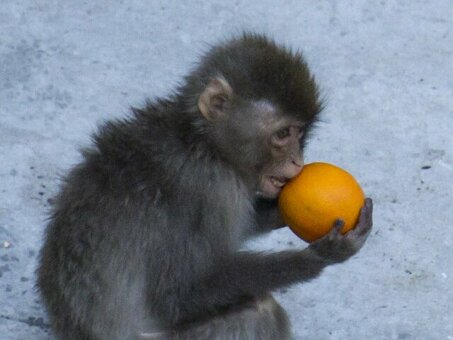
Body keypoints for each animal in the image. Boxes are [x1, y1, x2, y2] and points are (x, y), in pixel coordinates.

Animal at [38, 32, 370, 340]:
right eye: (283, 134)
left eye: (300, 134)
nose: (297, 161)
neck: (204, 142)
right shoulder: (210, 189)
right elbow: (176, 296)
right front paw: (319, 256)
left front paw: (277, 212)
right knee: (259, 313)